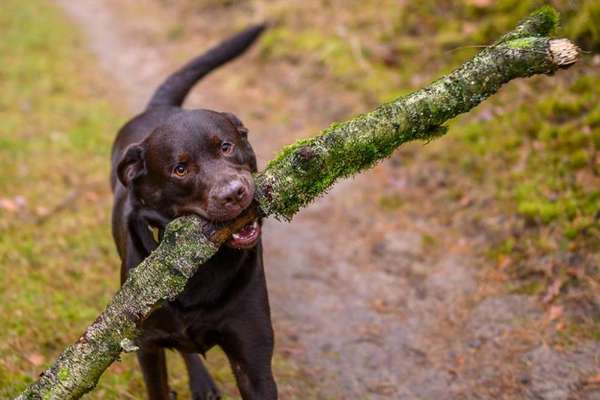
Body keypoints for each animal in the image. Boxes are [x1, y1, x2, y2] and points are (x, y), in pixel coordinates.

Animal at [109, 25, 276, 400]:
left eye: (226, 146)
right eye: (180, 169)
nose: (234, 193)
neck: (200, 268)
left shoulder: (254, 361)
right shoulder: (147, 347)